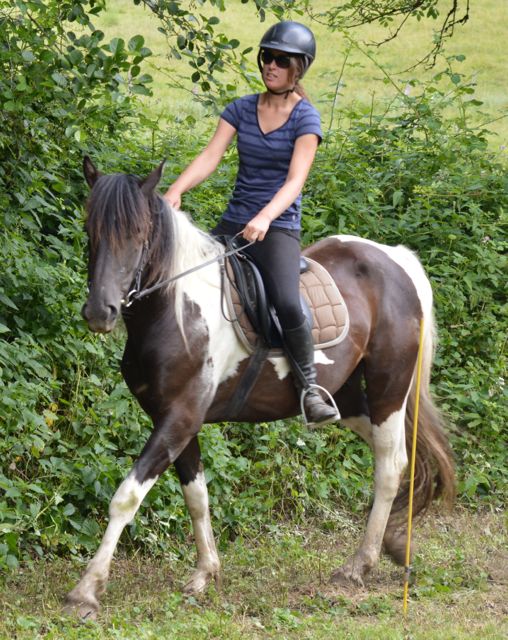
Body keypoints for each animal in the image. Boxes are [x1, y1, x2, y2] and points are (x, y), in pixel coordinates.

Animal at [65, 157, 455, 618]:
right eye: (90, 229)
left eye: (138, 234)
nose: (99, 311)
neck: (176, 310)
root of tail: (395, 259)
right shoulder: (176, 420)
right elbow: (197, 496)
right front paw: (205, 574)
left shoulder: (179, 418)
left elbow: (125, 497)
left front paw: (87, 589)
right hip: (347, 401)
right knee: (394, 453)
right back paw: (395, 544)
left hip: (388, 388)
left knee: (389, 465)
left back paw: (358, 565)